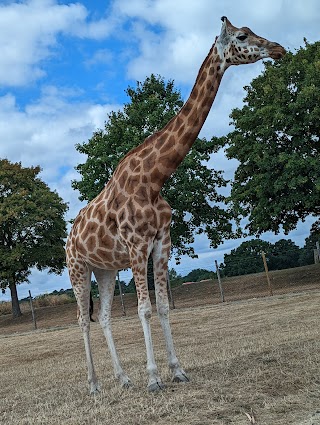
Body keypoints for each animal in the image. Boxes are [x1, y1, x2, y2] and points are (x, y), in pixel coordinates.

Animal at [65, 16, 284, 394]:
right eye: (242, 36)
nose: (278, 49)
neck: (155, 178)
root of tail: (68, 238)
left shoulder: (163, 243)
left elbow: (165, 307)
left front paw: (177, 370)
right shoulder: (137, 245)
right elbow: (144, 309)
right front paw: (154, 378)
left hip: (105, 270)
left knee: (104, 317)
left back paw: (123, 379)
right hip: (77, 268)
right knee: (82, 320)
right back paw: (94, 385)